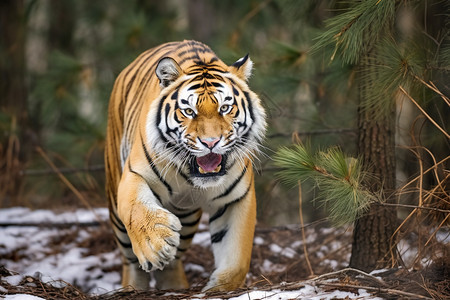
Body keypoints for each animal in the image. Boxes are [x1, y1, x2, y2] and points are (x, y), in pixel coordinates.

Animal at [104, 39, 268, 290]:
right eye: (189, 111)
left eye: (225, 108)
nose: (210, 142)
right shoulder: (134, 174)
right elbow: (136, 210)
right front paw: (156, 246)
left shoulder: (236, 199)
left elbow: (237, 260)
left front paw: (218, 287)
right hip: (116, 208)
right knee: (130, 261)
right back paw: (134, 286)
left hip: (188, 215)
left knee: (173, 264)